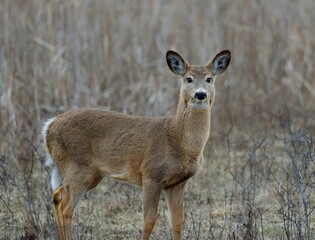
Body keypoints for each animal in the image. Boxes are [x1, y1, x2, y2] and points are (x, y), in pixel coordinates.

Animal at [42, 49, 231, 240]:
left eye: (209, 79)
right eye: (188, 79)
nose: (200, 94)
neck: (177, 139)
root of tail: (49, 126)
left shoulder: (178, 183)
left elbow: (178, 222)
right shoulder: (151, 175)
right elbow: (149, 221)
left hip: (91, 174)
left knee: (57, 196)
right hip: (78, 168)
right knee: (66, 207)